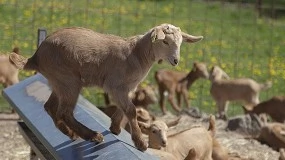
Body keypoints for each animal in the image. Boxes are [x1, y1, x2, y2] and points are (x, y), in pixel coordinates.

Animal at [9, 23, 202, 150]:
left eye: (180, 43)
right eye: (165, 42)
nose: (175, 61)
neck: (137, 54)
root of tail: (36, 56)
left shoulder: (126, 88)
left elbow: (125, 108)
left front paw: (115, 128)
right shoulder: (116, 85)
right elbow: (131, 110)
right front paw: (140, 142)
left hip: (59, 81)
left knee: (50, 107)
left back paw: (70, 133)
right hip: (69, 80)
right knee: (64, 112)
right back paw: (92, 136)